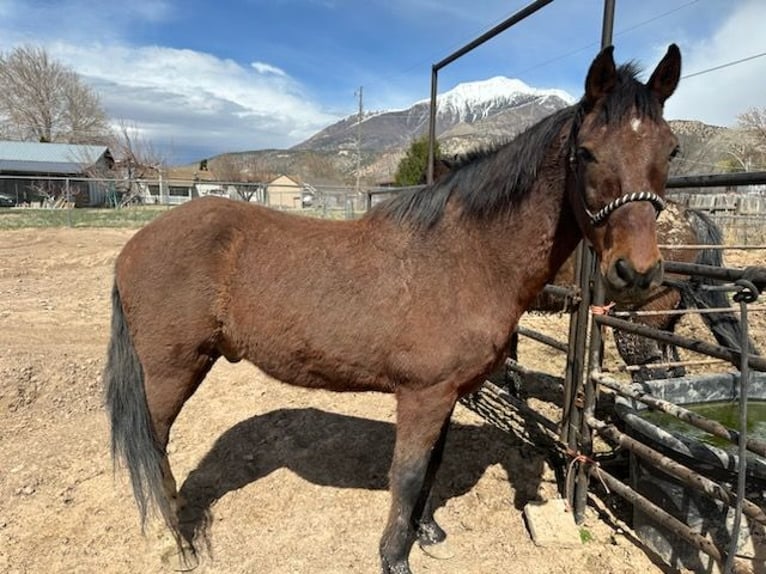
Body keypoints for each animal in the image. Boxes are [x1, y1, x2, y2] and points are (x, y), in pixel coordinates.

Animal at [103, 46, 684, 574]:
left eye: (672, 150)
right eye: (586, 151)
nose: (637, 272)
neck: (466, 255)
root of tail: (133, 247)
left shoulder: (446, 392)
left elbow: (432, 464)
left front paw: (426, 531)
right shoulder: (422, 394)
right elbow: (406, 474)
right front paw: (394, 555)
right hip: (171, 370)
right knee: (154, 446)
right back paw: (180, 540)